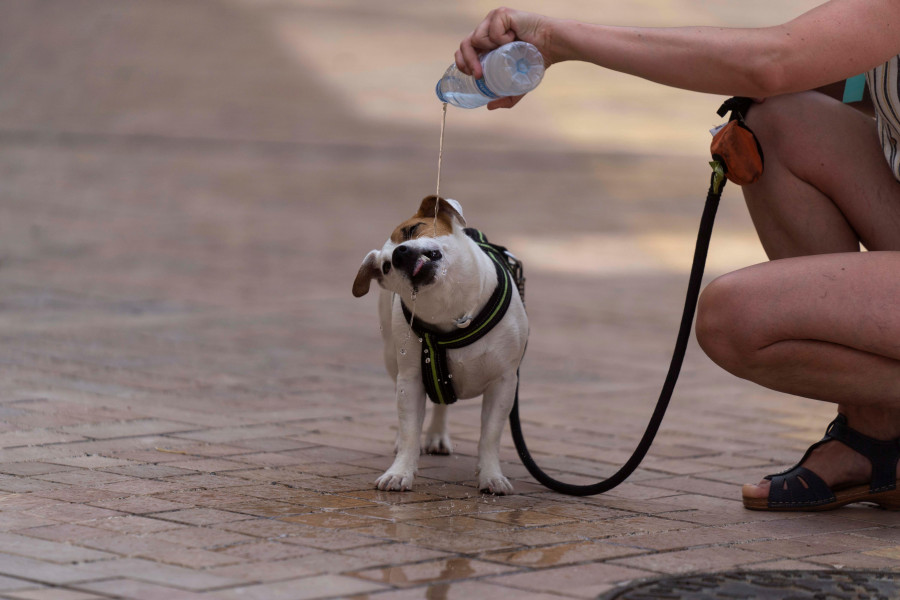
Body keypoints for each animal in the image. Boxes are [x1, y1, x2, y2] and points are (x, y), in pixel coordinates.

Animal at [352, 196, 528, 492]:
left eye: (412, 230)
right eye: (386, 267)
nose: (398, 255)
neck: (451, 309)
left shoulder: (503, 382)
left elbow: (490, 435)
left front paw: (491, 476)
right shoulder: (411, 380)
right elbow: (410, 429)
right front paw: (400, 471)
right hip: (393, 358)